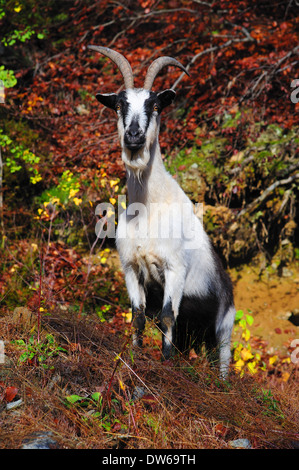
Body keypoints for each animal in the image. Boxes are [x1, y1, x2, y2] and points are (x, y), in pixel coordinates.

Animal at [89, 46, 237, 378]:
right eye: (119, 105)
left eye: (154, 105)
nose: (133, 136)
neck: (148, 209)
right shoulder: (132, 267)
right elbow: (139, 315)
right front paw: (134, 356)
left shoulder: (175, 269)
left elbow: (168, 315)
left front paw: (165, 363)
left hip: (224, 326)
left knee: (222, 357)